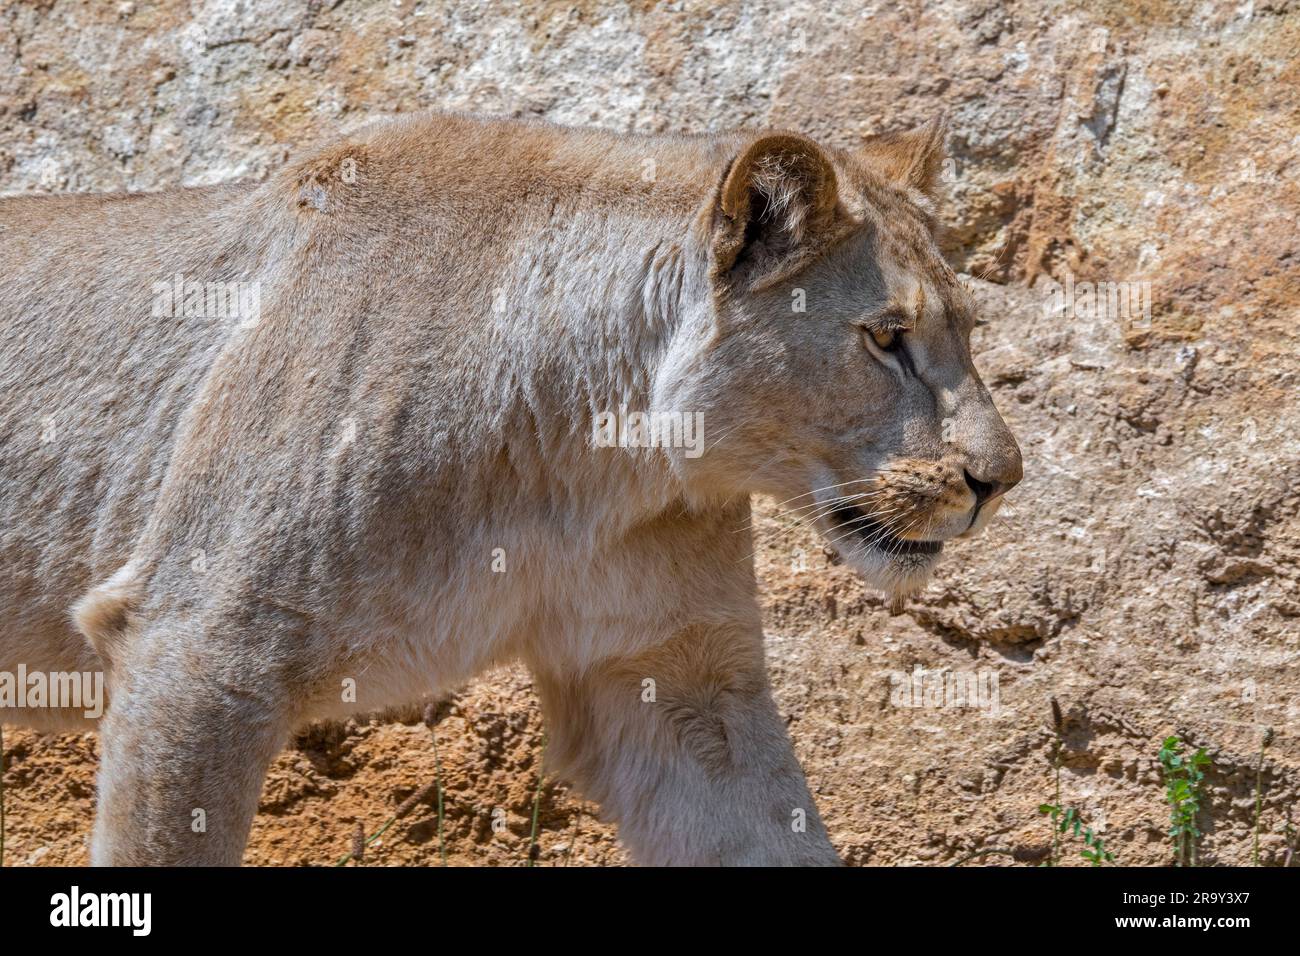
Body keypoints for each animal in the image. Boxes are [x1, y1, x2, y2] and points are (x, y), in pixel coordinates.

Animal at [0, 111, 1021, 866]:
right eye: (886, 338)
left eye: (968, 330)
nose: (999, 479)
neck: (589, 463)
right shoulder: (198, 650)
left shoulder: (673, 674)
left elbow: (769, 827)